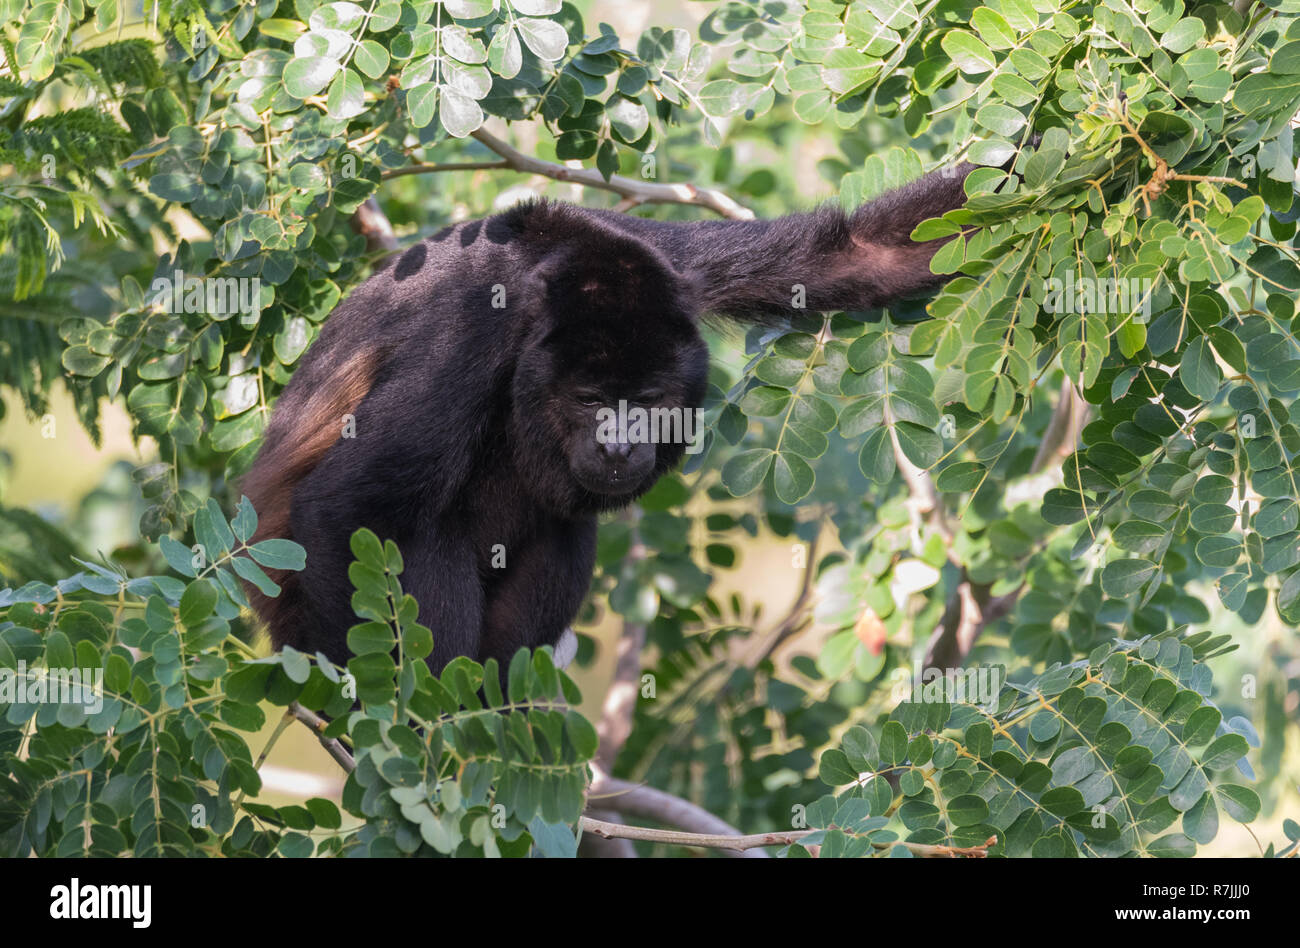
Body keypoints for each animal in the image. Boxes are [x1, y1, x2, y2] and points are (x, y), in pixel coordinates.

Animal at [240, 161, 982, 678]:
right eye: (592, 400)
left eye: (648, 401)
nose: (621, 448)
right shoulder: (468, 332)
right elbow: (347, 502)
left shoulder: (669, 264)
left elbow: (855, 253)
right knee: (420, 534)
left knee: (566, 528)